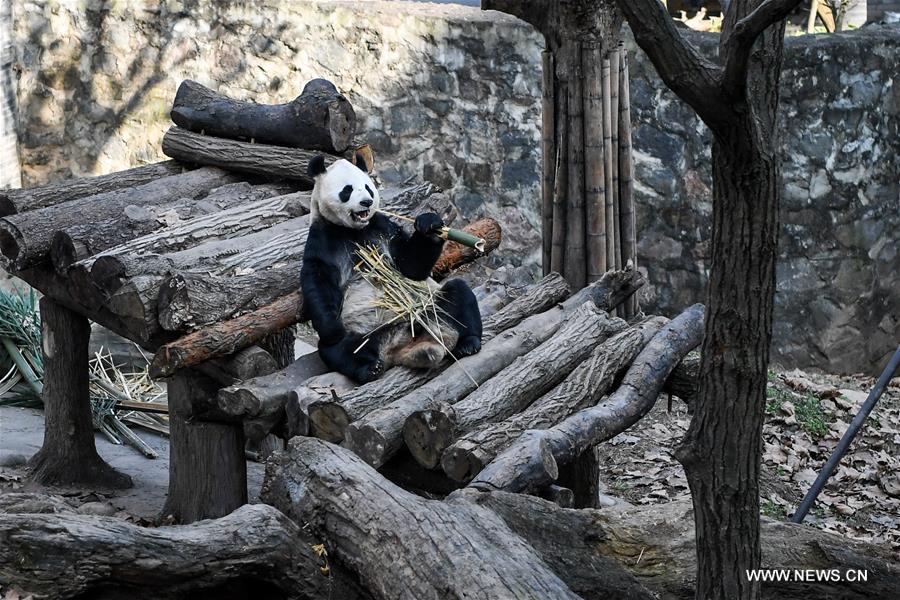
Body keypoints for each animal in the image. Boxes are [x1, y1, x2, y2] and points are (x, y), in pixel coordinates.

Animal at [301, 153, 483, 383]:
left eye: (368, 187)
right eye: (347, 190)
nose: (367, 202)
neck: (353, 231)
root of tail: (400, 346)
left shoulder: (382, 227)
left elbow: (410, 267)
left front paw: (429, 225)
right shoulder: (323, 238)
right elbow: (318, 279)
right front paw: (331, 327)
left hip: (430, 306)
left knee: (458, 295)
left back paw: (468, 343)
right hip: (365, 332)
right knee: (338, 347)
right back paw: (370, 368)